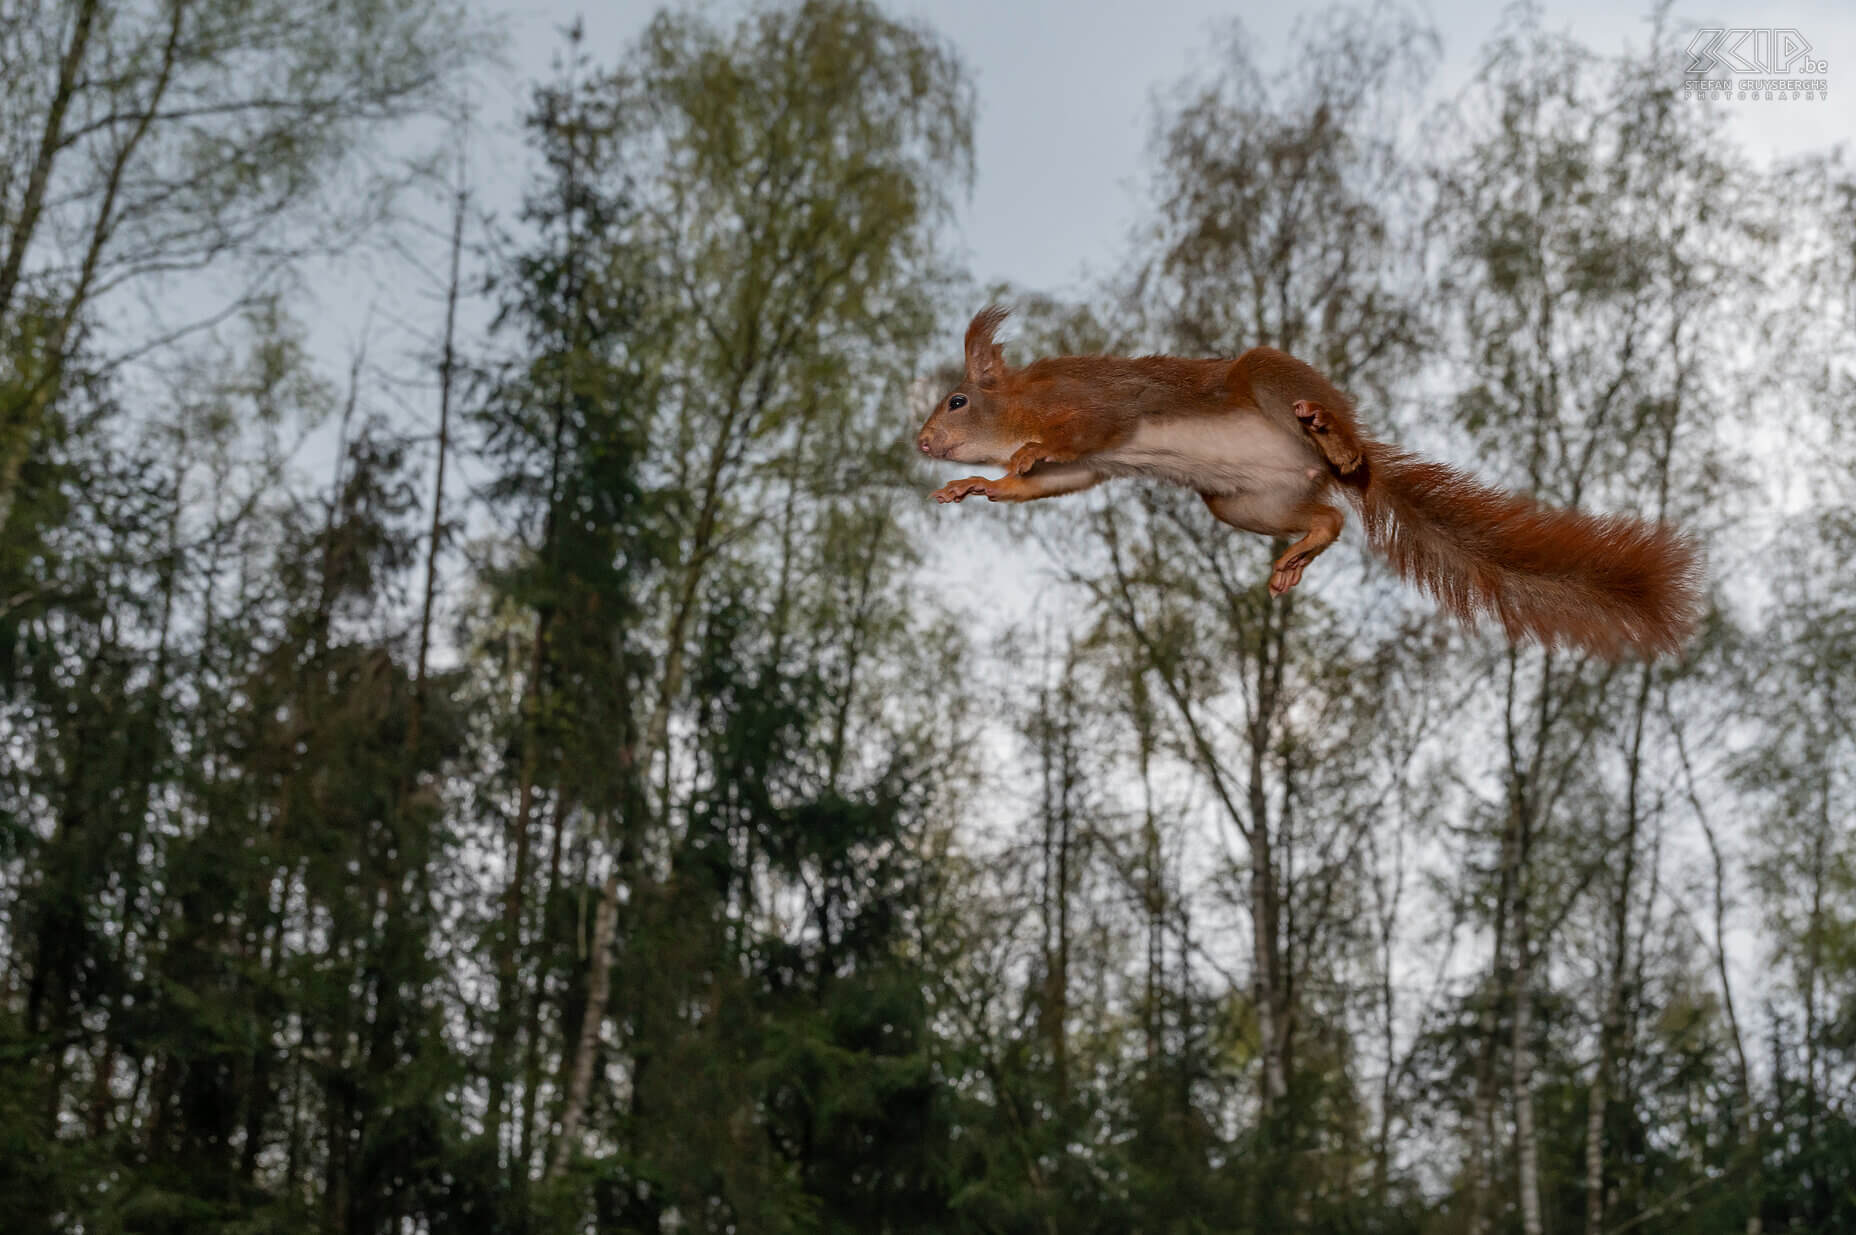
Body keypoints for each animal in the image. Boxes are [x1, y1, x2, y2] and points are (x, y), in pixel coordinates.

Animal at [920, 304, 1700, 661]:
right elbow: (1065, 475)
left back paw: (1339, 444)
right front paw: (979, 487)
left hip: (1269, 379)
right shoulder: (1091, 462)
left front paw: (1019, 457)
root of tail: (1319, 464)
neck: (1024, 399)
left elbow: (1066, 443)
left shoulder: (1095, 410)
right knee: (1331, 518)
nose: (922, 441)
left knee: (1342, 459)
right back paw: (1300, 552)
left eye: (956, 400)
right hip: (1239, 503)